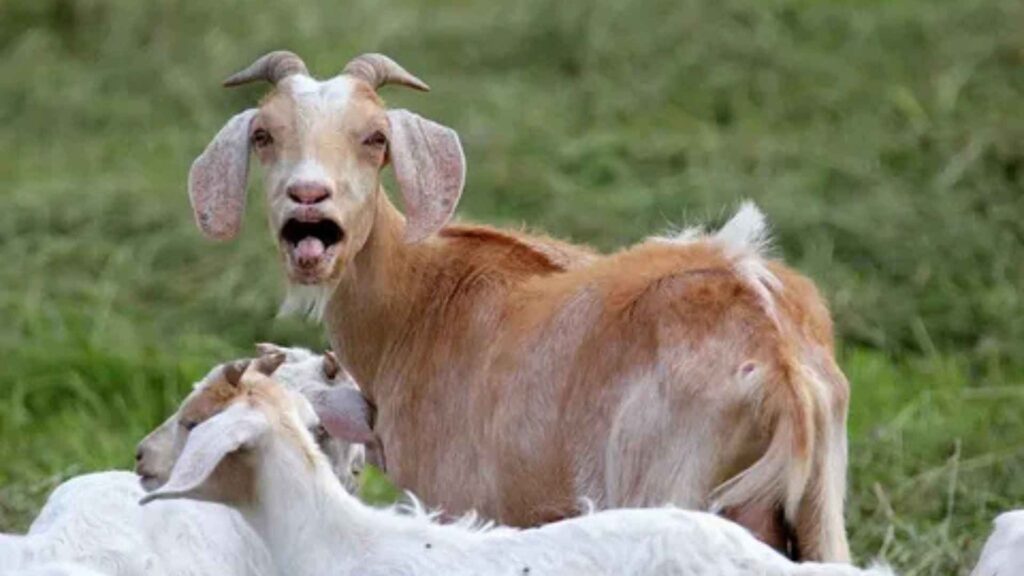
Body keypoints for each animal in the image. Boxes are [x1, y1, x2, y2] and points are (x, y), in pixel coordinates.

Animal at [186, 50, 852, 561]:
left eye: (375, 137)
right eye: (264, 134)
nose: (309, 195)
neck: (419, 302)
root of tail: (777, 361)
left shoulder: (457, 499)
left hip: (665, 479)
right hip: (819, 512)